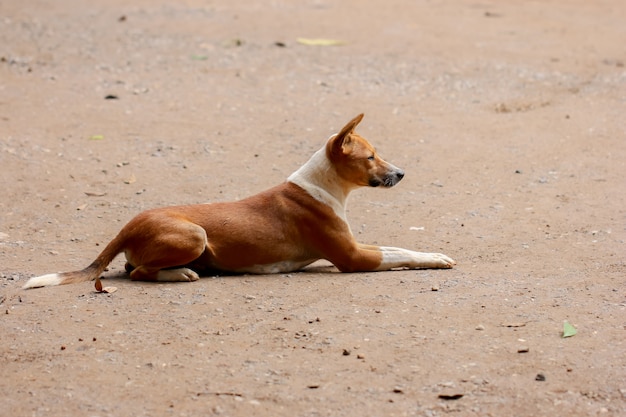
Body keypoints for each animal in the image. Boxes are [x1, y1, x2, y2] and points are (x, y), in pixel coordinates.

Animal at [23, 114, 454, 290]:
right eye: (371, 157)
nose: (402, 174)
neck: (321, 186)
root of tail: (127, 226)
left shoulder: (358, 246)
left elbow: (399, 247)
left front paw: (438, 255)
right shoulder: (352, 257)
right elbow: (399, 255)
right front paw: (433, 260)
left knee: (133, 268)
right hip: (194, 234)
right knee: (138, 273)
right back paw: (180, 274)